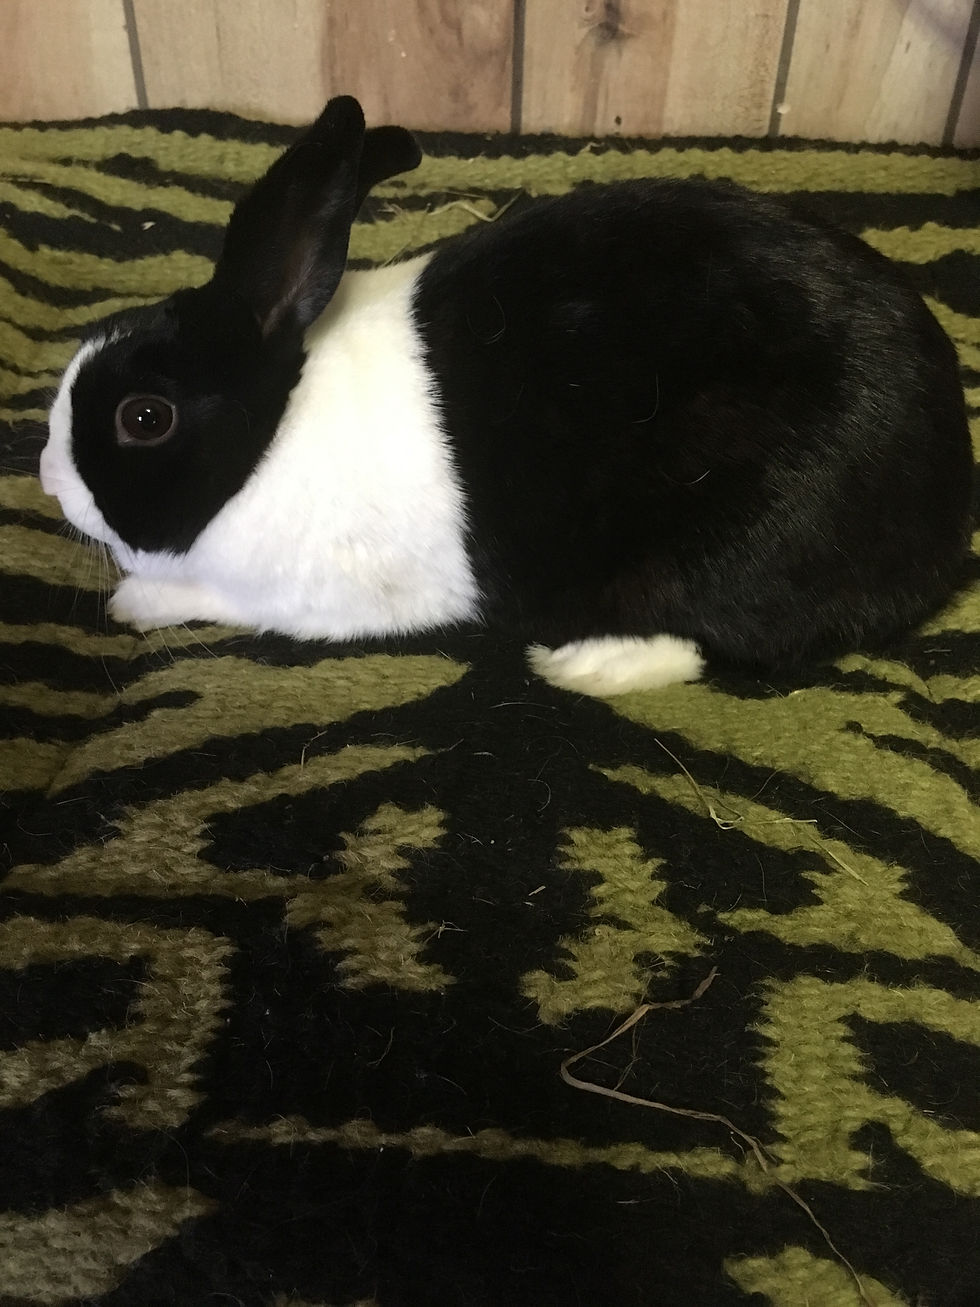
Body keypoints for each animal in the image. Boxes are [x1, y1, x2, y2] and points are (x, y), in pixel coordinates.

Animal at [39, 95, 973, 697]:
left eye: (144, 418)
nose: (47, 475)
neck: (273, 430)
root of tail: (943, 522)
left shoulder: (305, 597)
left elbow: (210, 598)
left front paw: (133, 604)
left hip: (730, 545)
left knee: (741, 643)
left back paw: (583, 665)